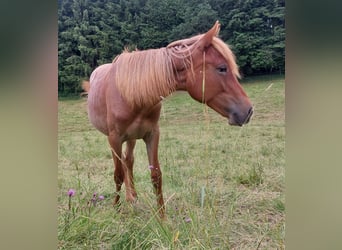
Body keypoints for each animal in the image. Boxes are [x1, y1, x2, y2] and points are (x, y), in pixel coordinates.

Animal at [82, 21, 254, 217]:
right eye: (222, 68)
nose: (248, 110)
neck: (132, 93)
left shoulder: (152, 134)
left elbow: (156, 175)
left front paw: (162, 217)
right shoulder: (114, 138)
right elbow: (117, 175)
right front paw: (116, 210)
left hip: (132, 138)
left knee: (129, 161)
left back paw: (132, 196)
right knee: (124, 164)